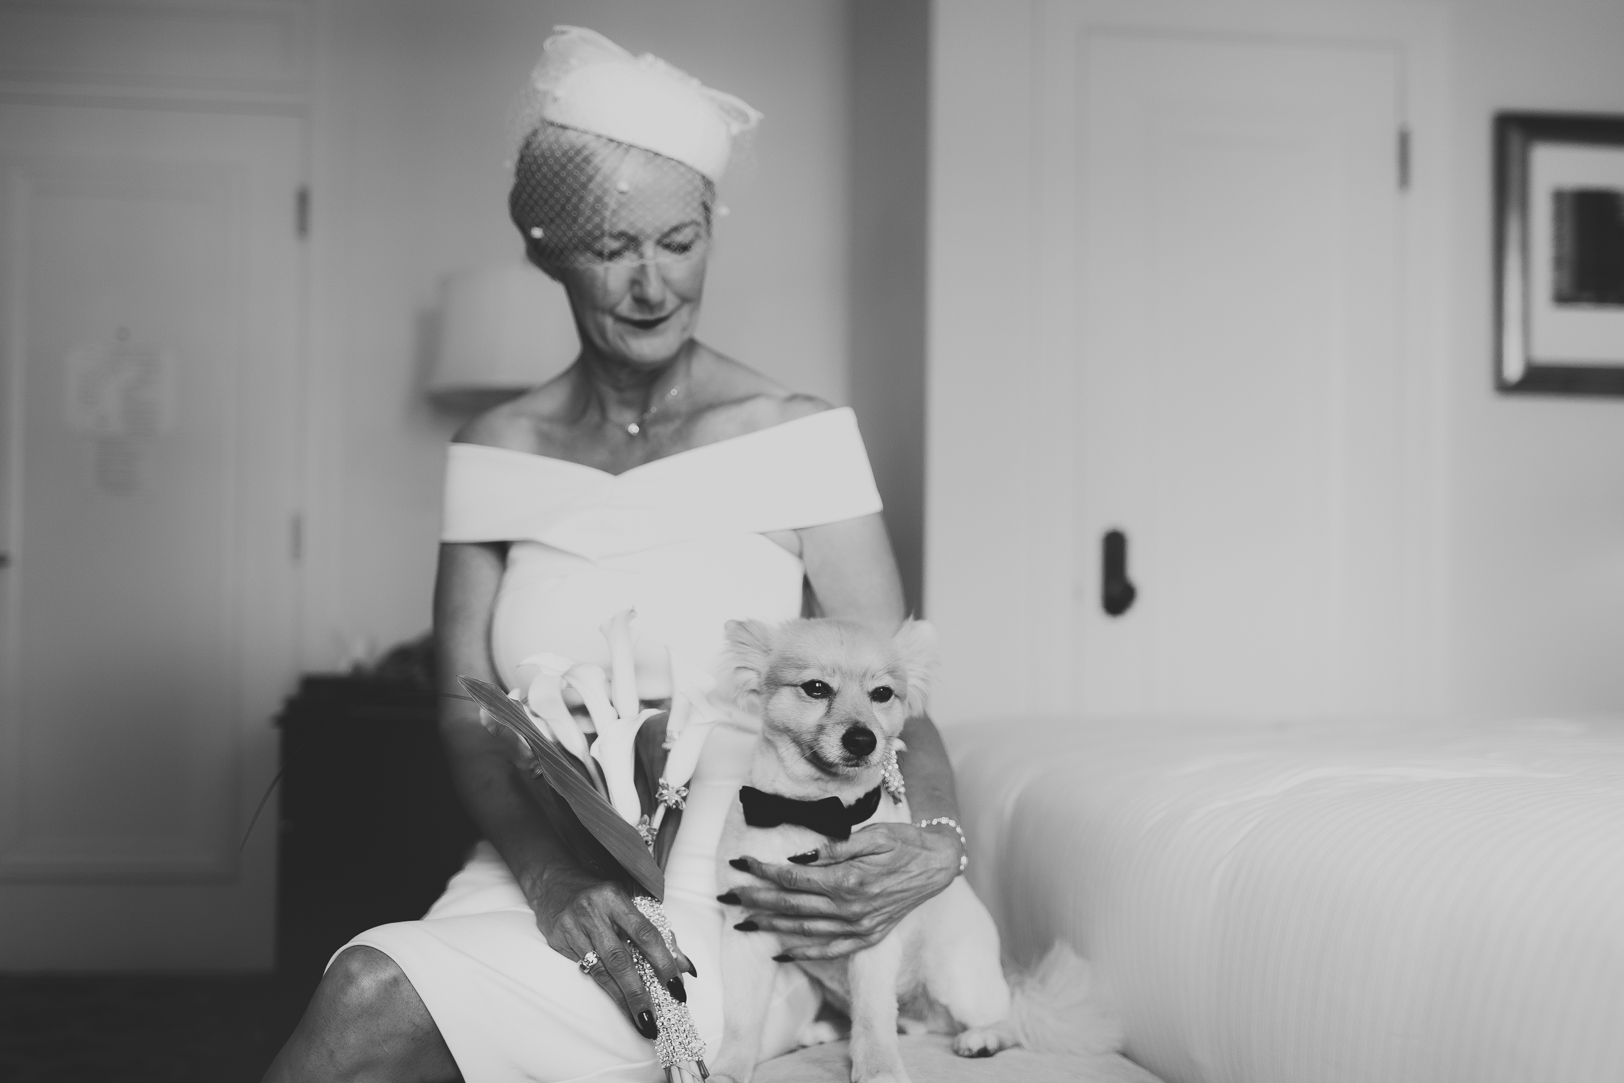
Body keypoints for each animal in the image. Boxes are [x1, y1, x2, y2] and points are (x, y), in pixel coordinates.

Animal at [711, 617, 1117, 1083]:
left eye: (882, 694)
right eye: (816, 688)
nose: (863, 739)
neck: (813, 810)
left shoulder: (871, 935)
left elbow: (873, 1016)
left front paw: (879, 1069)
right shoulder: (744, 932)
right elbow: (741, 1021)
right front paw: (728, 1070)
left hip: (957, 978)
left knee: (1011, 1021)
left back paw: (984, 1037)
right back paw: (824, 1028)